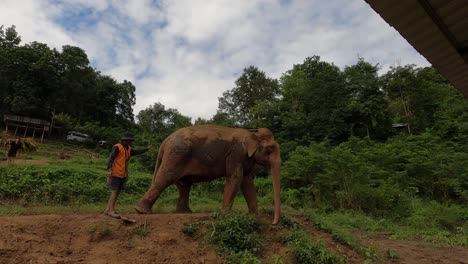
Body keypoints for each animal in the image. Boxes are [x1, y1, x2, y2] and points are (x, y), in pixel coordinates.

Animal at [135, 125, 282, 224]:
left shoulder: (246, 158)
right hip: (176, 155)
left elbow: (247, 182)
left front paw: (254, 216)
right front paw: (225, 215)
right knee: (165, 178)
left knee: (183, 185)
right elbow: (235, 178)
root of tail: (165, 142)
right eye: (270, 149)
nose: (273, 222)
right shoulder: (236, 154)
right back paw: (142, 211)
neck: (250, 131)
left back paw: (184, 212)